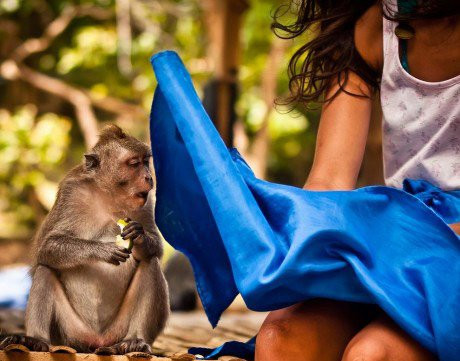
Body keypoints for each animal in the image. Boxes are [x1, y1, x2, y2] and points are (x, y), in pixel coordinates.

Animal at [0, 125, 169, 352]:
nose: (149, 178)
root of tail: (98, 341)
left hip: (117, 330)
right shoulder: (71, 193)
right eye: (134, 164)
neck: (108, 196)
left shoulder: (147, 201)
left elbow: (156, 248)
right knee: (45, 270)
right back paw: (36, 340)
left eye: (145, 161)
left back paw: (136, 339)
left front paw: (139, 235)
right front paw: (102, 250)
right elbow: (47, 247)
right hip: (70, 333)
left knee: (150, 263)